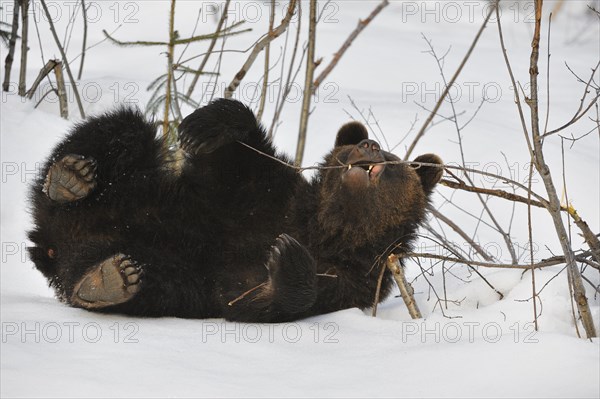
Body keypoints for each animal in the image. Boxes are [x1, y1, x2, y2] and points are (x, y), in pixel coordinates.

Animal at [27, 98, 440, 324]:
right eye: (353, 145)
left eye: (394, 160)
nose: (369, 145)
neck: (329, 227)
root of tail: (49, 243)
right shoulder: (259, 193)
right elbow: (237, 154)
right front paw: (204, 123)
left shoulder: (354, 279)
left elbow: (257, 298)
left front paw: (287, 257)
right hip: (129, 186)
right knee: (120, 127)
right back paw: (70, 178)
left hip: (161, 271)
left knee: (143, 281)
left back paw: (108, 279)